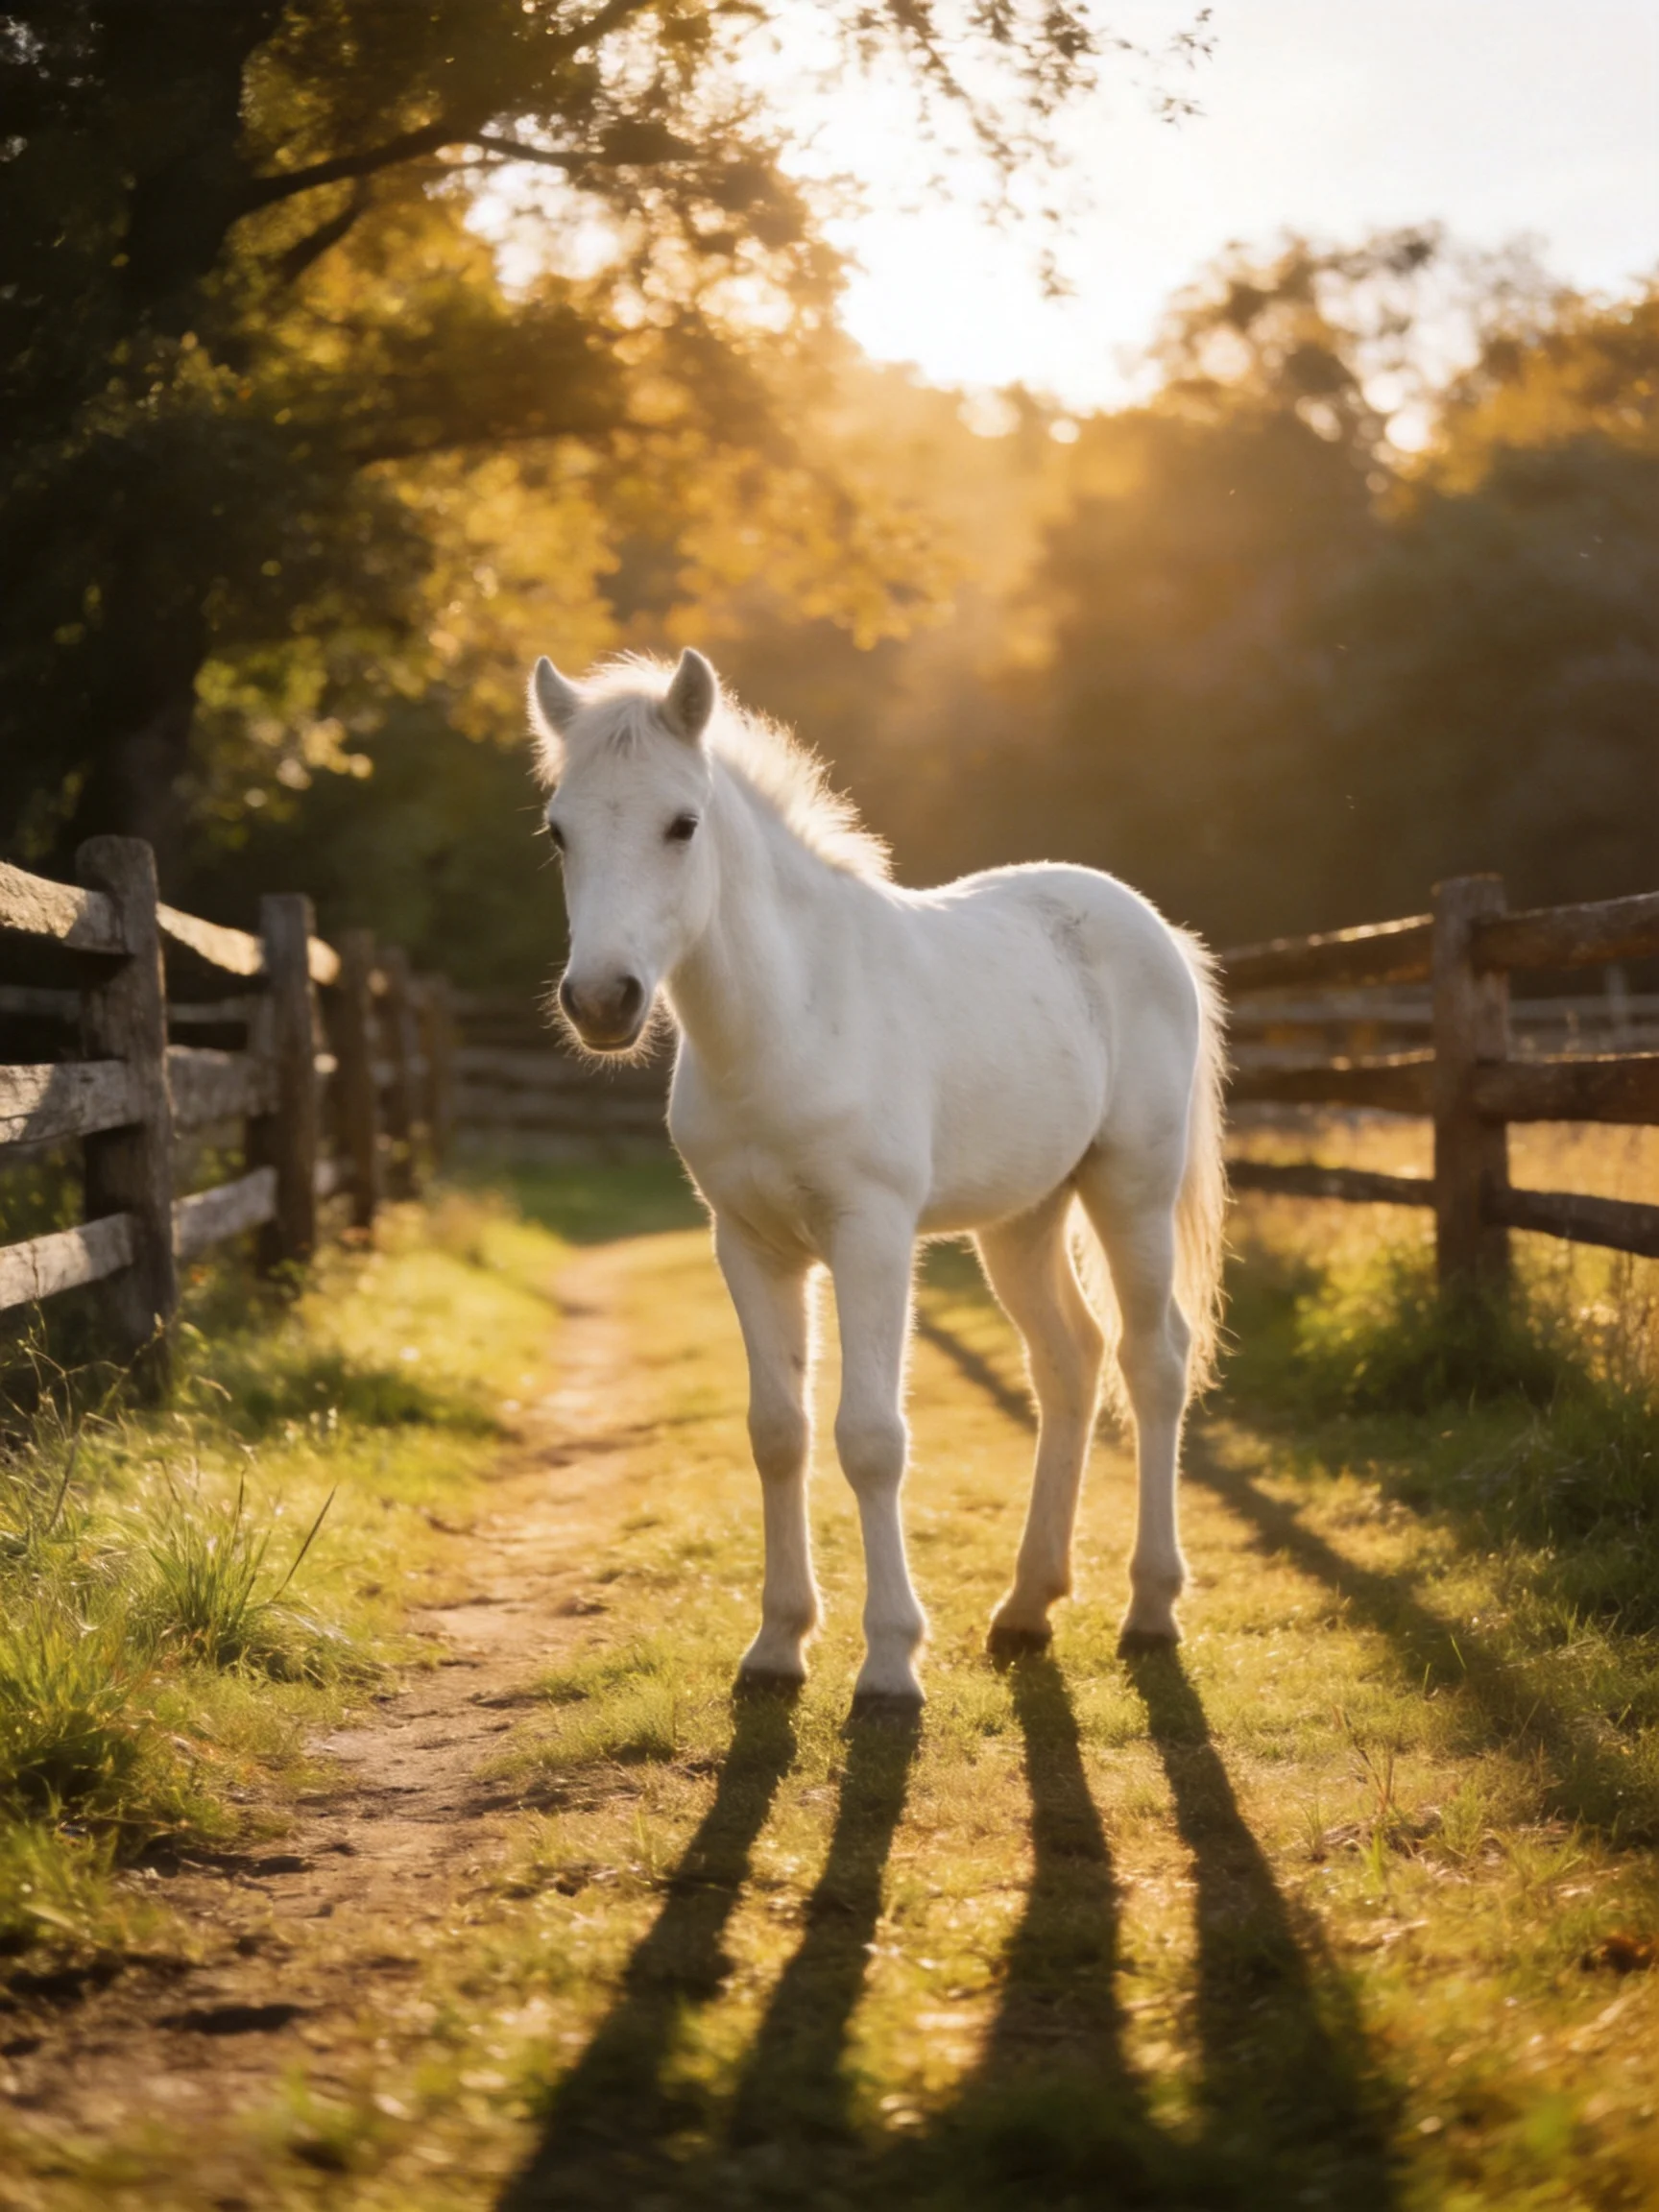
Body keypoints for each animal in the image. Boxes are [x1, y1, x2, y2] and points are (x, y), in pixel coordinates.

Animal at [529, 647, 1227, 1710]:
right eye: (558, 830)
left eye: (682, 824)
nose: (603, 1001)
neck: (790, 1017)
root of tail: (1152, 927)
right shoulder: (749, 1244)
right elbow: (778, 1432)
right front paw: (777, 1646)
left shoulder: (872, 1236)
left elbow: (870, 1437)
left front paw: (892, 1660)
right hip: (1021, 1219)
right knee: (1068, 1362)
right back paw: (1027, 1605)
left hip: (1131, 1194)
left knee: (1153, 1363)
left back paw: (1150, 1608)